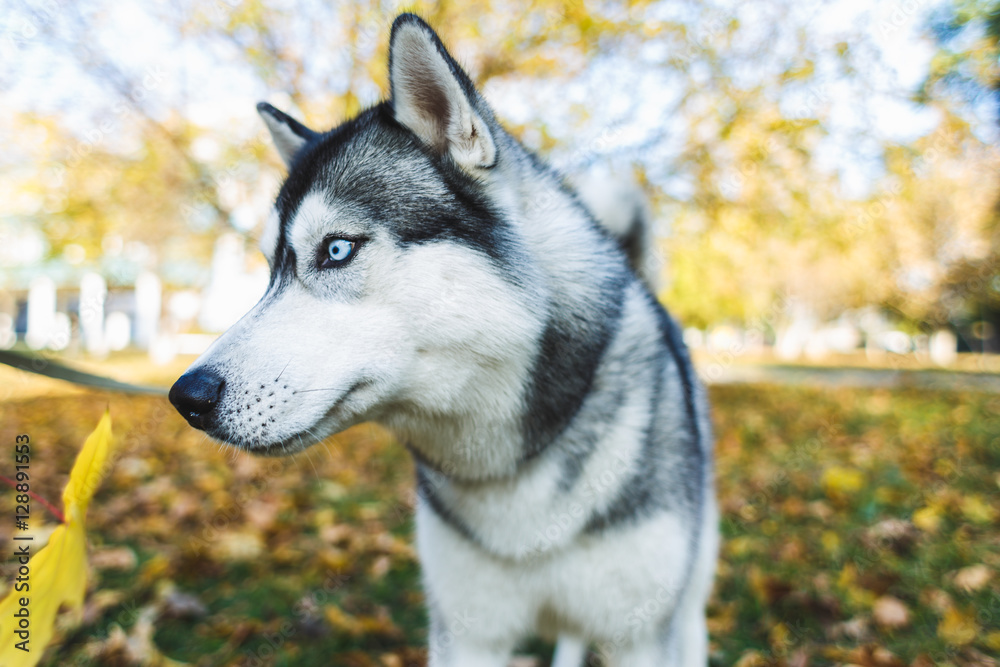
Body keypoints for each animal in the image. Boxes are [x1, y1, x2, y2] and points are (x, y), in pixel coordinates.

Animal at [172, 14, 720, 667]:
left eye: (336, 249)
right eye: (268, 269)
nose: (186, 396)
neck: (510, 473)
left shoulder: (637, 633)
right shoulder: (468, 631)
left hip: (685, 602)